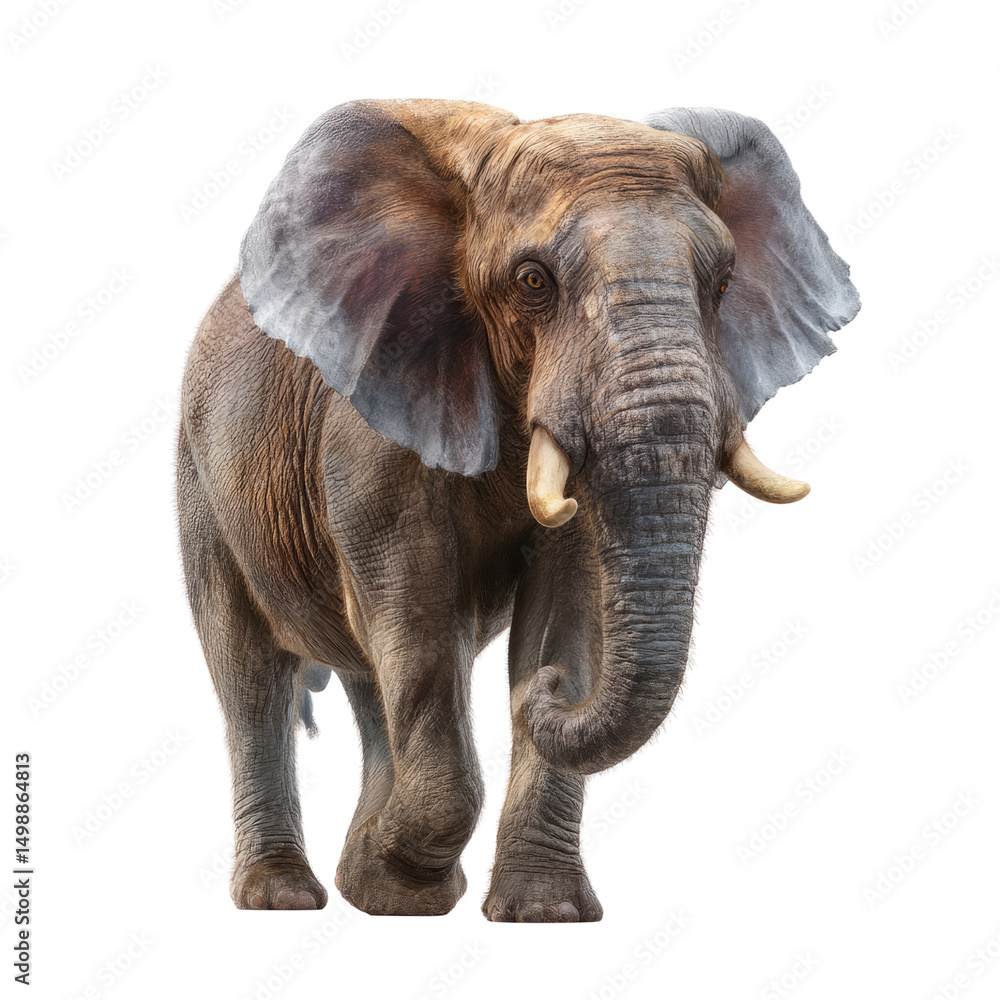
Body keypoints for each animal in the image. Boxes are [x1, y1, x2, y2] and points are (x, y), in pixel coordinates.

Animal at [176, 98, 860, 921]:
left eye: (723, 281)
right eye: (533, 280)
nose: (555, 692)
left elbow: (569, 605)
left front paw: (537, 911)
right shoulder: (366, 424)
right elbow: (413, 610)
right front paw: (403, 882)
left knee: (370, 680)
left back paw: (363, 881)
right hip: (200, 480)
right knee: (251, 677)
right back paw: (286, 895)